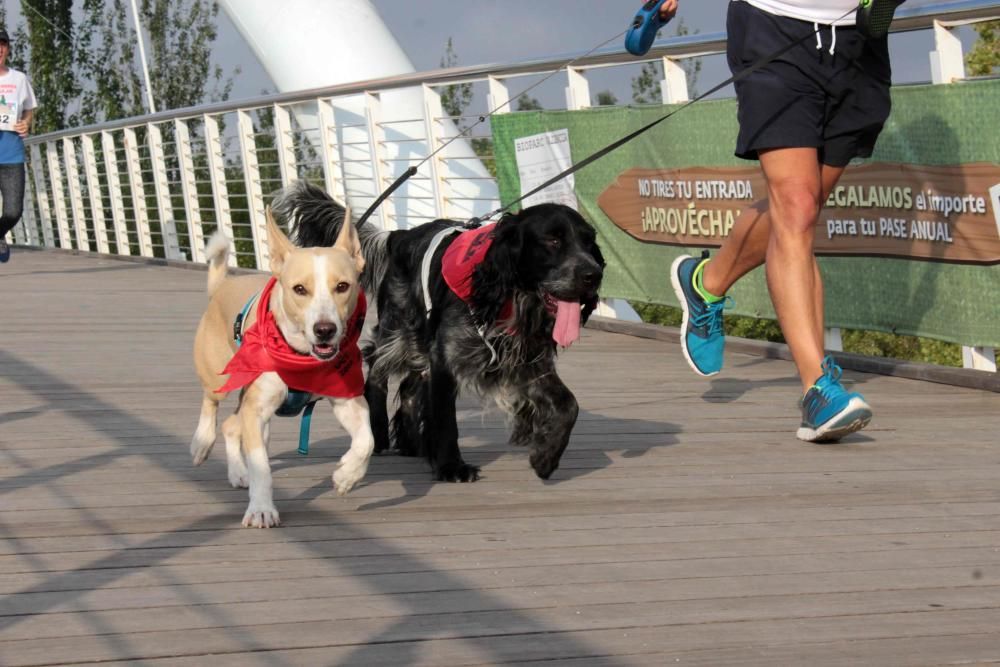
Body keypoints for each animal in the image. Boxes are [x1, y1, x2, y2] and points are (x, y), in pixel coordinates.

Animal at [189, 209, 374, 528]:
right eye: (299, 289)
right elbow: (262, 467)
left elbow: (366, 440)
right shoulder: (257, 409)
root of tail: (222, 285)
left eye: (342, 286)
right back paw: (202, 443)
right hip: (218, 376)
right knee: (211, 404)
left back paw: (239, 472)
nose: (325, 330)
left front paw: (347, 475)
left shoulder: (346, 400)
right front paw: (261, 509)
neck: (300, 357)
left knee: (232, 425)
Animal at [272, 183, 600, 482]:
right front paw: (451, 466)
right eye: (553, 240)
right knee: (377, 369)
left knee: (409, 387)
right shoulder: (446, 356)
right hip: (399, 330)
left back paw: (411, 442)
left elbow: (569, 405)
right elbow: (445, 418)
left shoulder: (527, 361)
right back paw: (379, 432)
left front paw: (546, 456)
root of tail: (400, 236)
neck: (508, 296)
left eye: (589, 243)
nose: (593, 275)